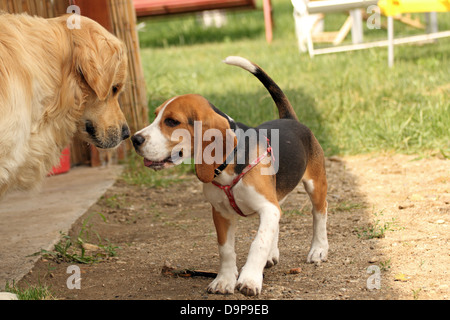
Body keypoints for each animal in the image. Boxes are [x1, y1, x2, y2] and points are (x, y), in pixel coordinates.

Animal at [132, 56, 328, 296]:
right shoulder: (221, 212)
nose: (135, 139)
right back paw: (272, 254)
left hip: (315, 185)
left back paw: (319, 249)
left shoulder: (267, 207)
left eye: (171, 121)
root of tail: (290, 119)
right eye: (155, 116)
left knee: (319, 213)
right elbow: (225, 249)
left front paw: (250, 279)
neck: (228, 163)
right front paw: (224, 280)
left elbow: (258, 242)